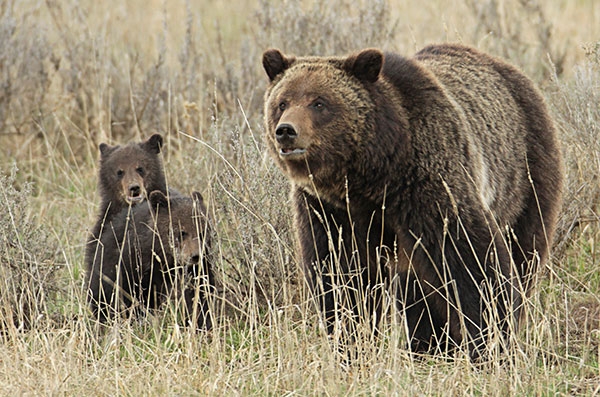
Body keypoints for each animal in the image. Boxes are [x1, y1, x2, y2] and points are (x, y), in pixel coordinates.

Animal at [262, 43, 564, 356]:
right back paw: (428, 344)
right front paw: (350, 340)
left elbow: (472, 260)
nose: (286, 131)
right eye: (282, 102)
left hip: (525, 175)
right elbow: (340, 275)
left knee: (524, 250)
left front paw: (491, 340)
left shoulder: (427, 184)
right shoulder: (329, 209)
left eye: (319, 103)